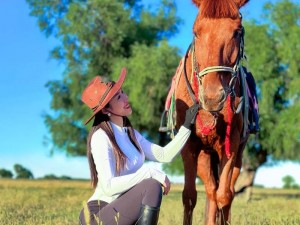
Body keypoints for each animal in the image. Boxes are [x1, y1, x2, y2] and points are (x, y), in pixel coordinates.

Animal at [176, 0, 251, 225]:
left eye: (237, 32)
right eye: (196, 32)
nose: (212, 97)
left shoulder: (231, 144)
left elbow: (224, 196)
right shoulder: (188, 147)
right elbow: (189, 196)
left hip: (238, 157)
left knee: (225, 192)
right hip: (204, 156)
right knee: (210, 190)